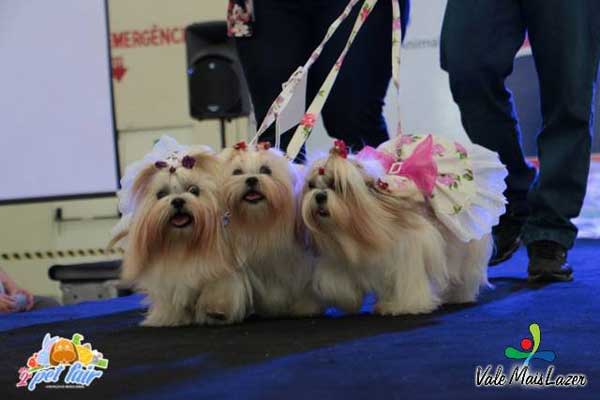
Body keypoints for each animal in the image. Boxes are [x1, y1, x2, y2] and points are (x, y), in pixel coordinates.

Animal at [300, 143, 492, 316]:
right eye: (311, 185)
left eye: (337, 185)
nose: (319, 196)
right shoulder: (341, 258)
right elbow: (335, 283)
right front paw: (346, 299)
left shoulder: (407, 252)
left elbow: (407, 283)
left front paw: (401, 306)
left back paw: (459, 296)